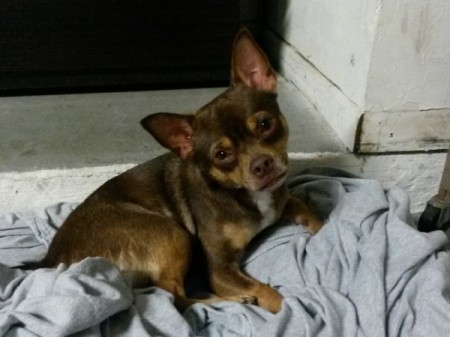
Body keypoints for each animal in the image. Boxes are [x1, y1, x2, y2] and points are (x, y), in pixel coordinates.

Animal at [38, 28, 322, 312]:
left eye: (265, 124)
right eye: (221, 155)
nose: (261, 164)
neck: (243, 194)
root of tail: (53, 261)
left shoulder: (282, 199)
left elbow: (307, 209)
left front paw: (322, 228)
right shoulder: (220, 270)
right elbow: (266, 292)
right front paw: (286, 306)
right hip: (174, 232)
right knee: (175, 296)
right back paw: (232, 301)